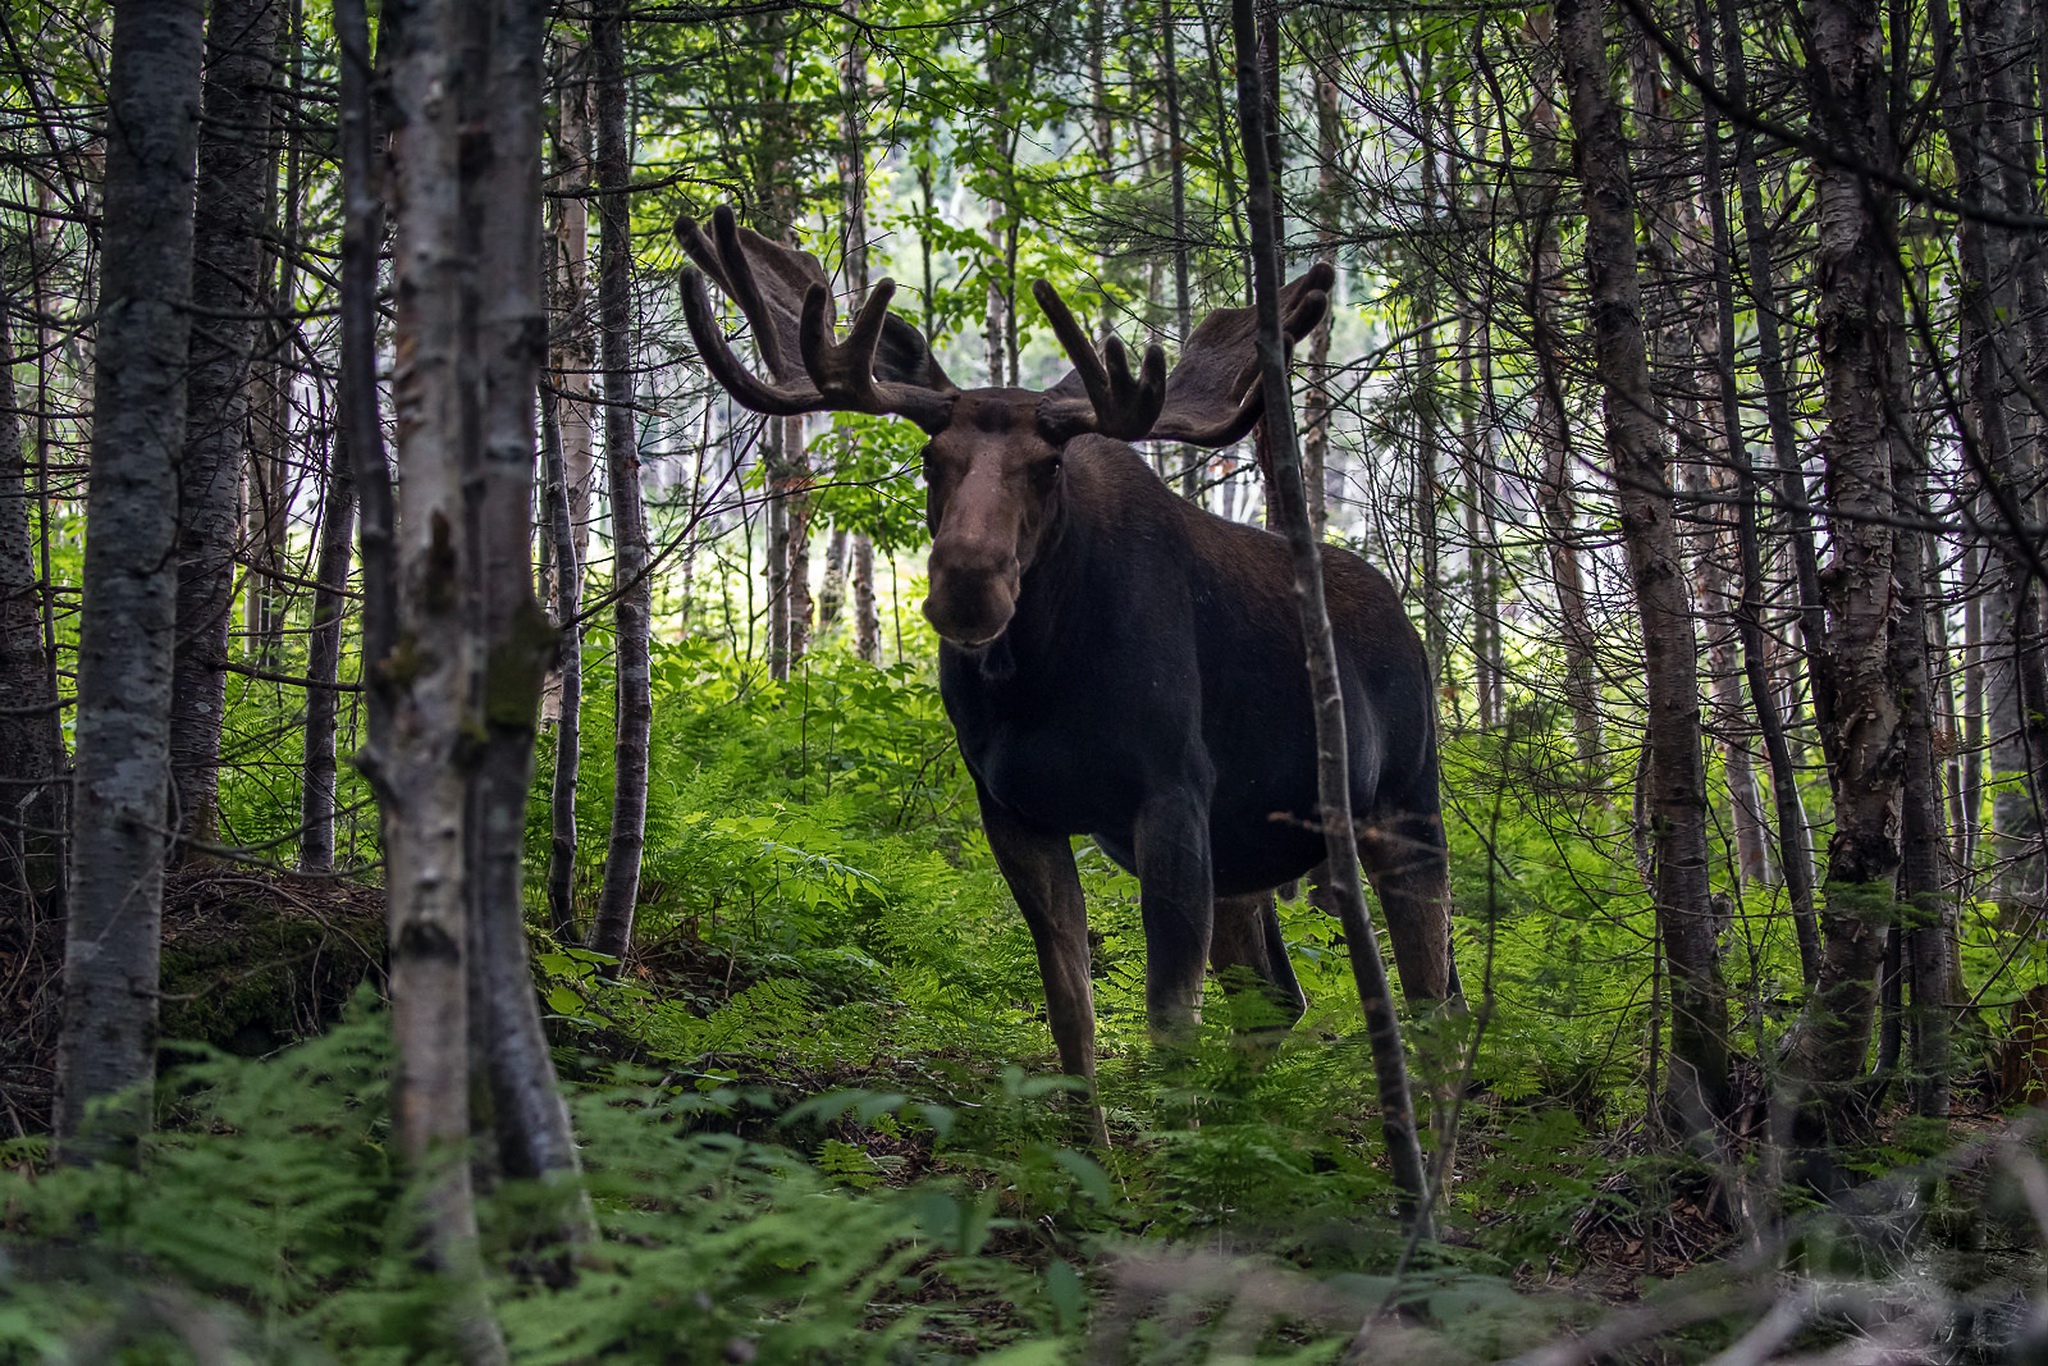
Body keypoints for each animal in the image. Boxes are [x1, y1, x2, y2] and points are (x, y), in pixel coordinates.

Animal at [684, 208, 1458, 1138]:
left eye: (1048, 465)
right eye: (931, 459)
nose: (968, 581)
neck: (1040, 680)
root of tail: (1408, 626)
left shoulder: (1172, 797)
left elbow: (1167, 1023)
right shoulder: (1015, 810)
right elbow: (1071, 1016)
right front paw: (1101, 1159)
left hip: (1406, 805)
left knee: (1433, 1003)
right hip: (1251, 853)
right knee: (1279, 998)